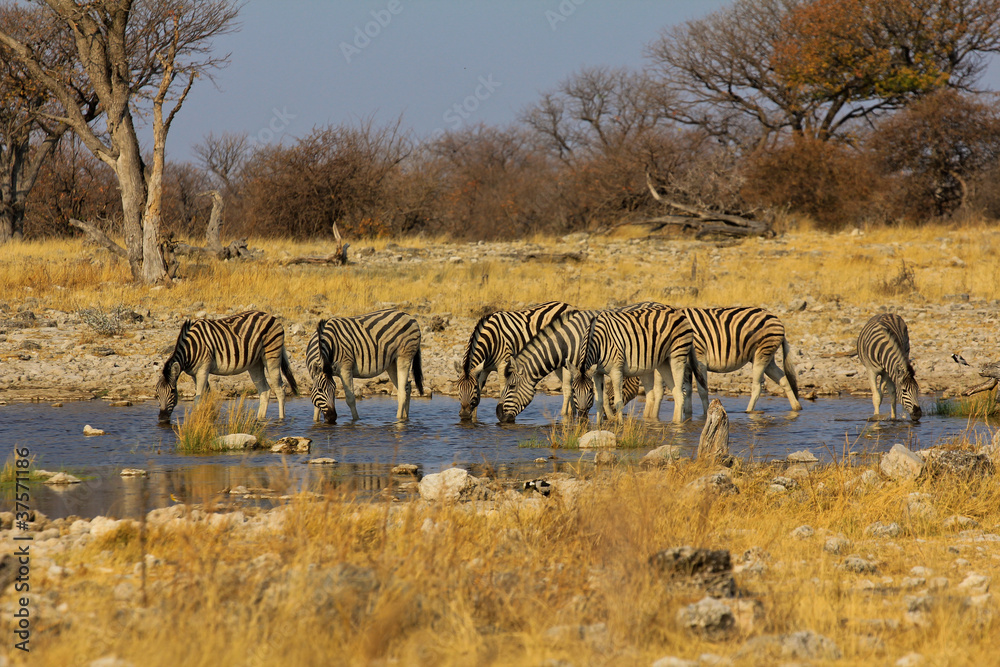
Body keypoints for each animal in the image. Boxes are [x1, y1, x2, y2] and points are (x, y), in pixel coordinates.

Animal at [155, 310, 298, 423]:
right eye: (157, 393)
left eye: (173, 391)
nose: (162, 418)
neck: (190, 348)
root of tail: (270, 316)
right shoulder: (195, 374)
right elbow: (206, 395)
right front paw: (208, 417)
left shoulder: (203, 370)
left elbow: (198, 398)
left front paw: (197, 420)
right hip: (255, 364)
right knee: (265, 390)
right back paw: (260, 419)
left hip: (272, 356)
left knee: (280, 389)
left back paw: (281, 420)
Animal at [496, 309, 644, 423]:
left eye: (511, 386)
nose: (498, 414)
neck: (569, 343)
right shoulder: (573, 368)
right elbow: (571, 390)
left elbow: (596, 393)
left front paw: (609, 417)